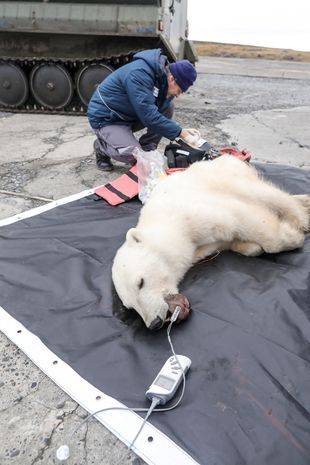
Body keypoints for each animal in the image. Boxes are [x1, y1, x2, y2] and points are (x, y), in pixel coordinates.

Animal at [111, 156, 310, 330]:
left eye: (141, 282)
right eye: (130, 306)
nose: (154, 323)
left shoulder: (193, 213)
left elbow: (241, 217)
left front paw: (293, 237)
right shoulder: (200, 247)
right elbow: (232, 241)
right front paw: (250, 246)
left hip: (227, 177)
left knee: (264, 194)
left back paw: (301, 217)